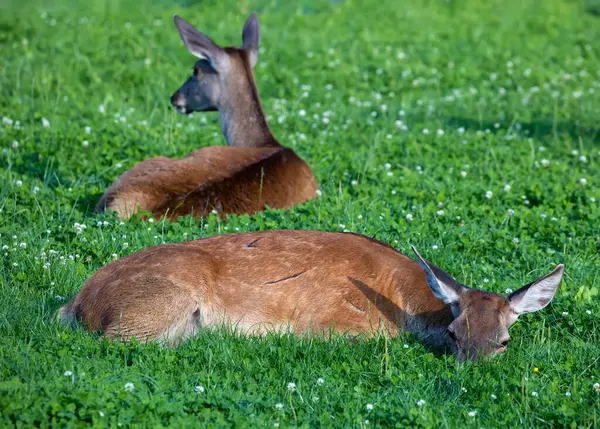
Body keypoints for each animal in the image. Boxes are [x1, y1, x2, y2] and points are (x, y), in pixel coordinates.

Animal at [58, 229, 564, 360]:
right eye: (456, 334)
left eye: (504, 341)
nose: (472, 367)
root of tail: (76, 303)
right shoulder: (337, 321)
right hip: (157, 306)